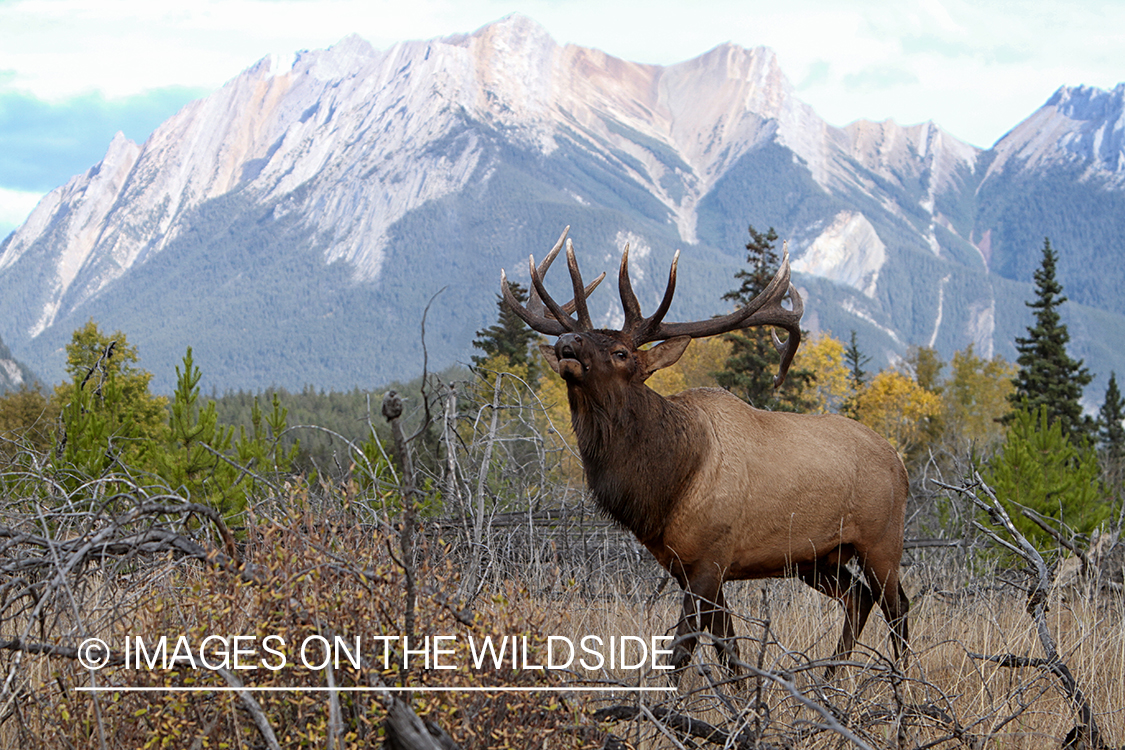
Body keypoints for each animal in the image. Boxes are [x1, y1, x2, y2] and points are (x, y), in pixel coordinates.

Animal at [500, 227, 910, 678]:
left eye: (621, 352)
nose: (566, 341)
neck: (667, 486)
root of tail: (899, 462)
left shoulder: (713, 557)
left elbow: (683, 649)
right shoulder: (682, 564)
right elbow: (727, 647)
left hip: (881, 539)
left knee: (898, 606)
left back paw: (901, 683)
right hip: (815, 557)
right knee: (859, 598)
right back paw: (829, 676)